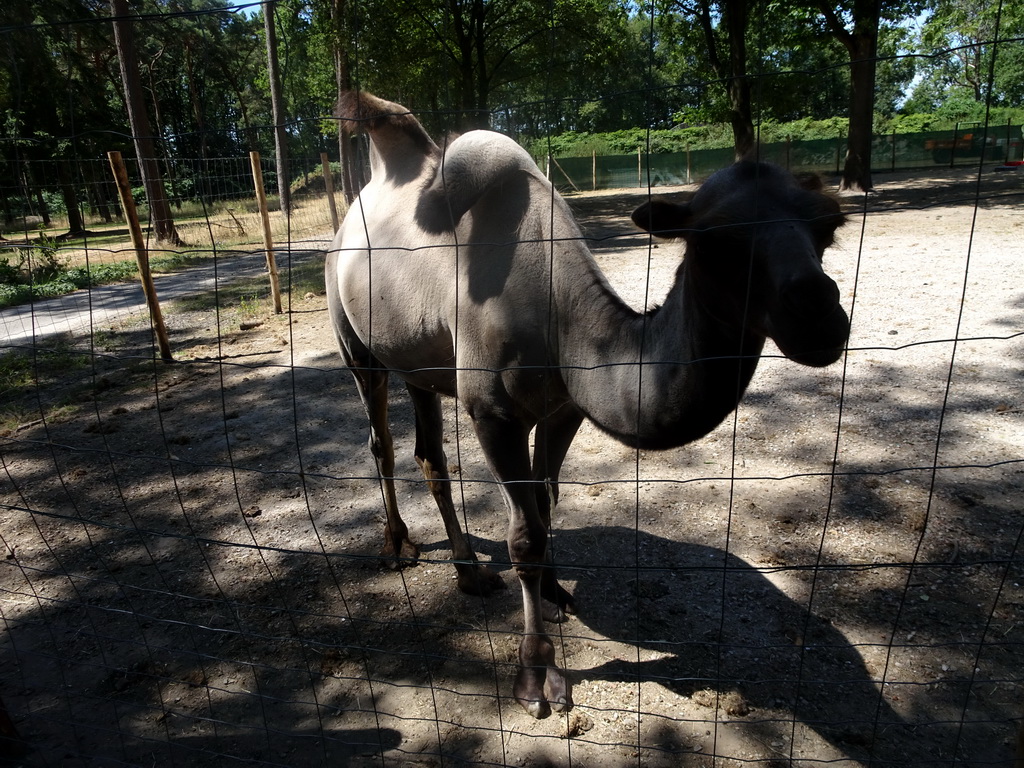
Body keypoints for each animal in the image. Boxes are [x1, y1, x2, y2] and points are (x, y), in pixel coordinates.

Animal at [325, 91, 847, 720]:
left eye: (828, 227)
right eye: (718, 239)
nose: (819, 316)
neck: (559, 316)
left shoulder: (563, 409)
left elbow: (546, 504)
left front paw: (554, 593)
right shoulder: (493, 414)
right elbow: (524, 537)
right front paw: (536, 676)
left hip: (417, 361)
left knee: (431, 455)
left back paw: (469, 573)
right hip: (354, 341)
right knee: (381, 441)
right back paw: (399, 545)